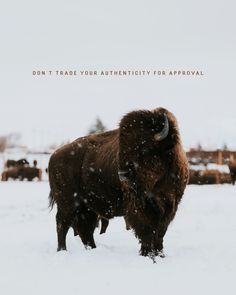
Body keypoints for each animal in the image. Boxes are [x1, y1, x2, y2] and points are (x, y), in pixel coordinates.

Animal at [48, 107, 189, 260]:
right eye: (121, 149)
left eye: (145, 148)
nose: (123, 175)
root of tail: (54, 155)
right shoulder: (139, 205)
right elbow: (146, 229)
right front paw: (147, 254)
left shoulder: (170, 205)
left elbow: (160, 232)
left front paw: (160, 254)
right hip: (68, 203)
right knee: (62, 224)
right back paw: (62, 250)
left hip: (87, 206)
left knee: (85, 229)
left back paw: (92, 249)